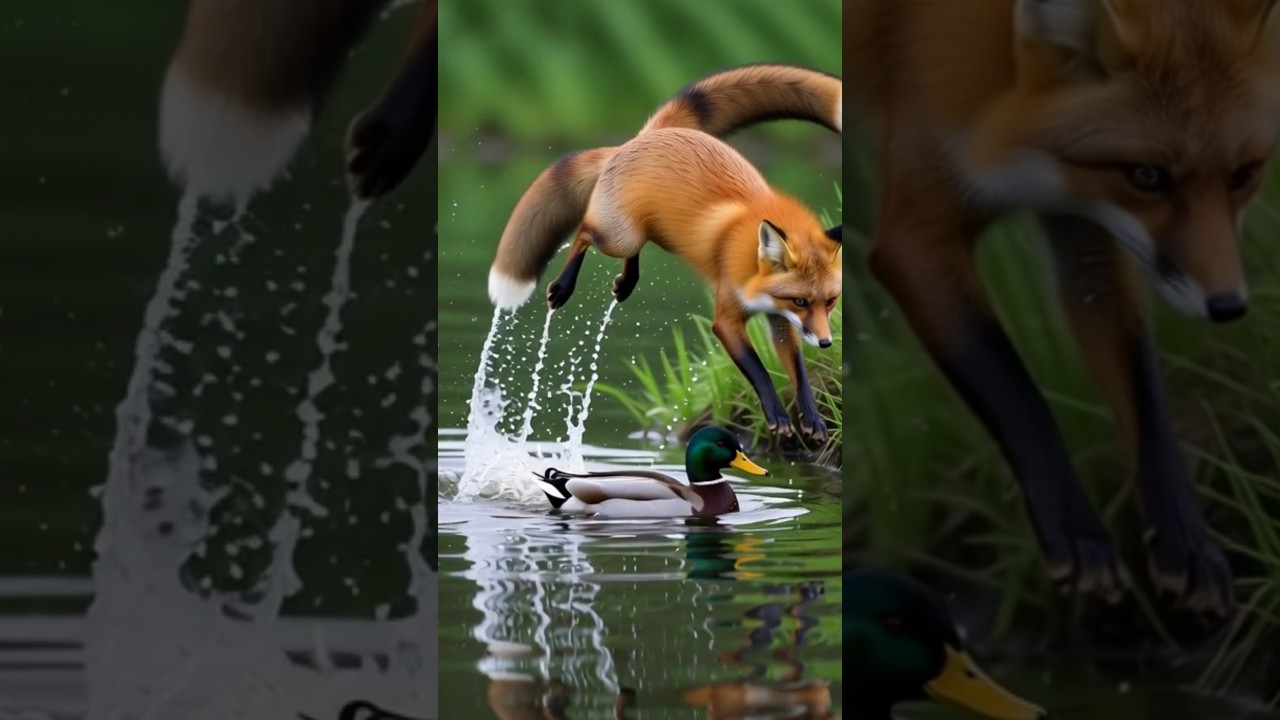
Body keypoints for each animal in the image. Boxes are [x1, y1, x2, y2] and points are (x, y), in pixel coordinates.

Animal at [485, 65, 843, 440]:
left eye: (830, 301)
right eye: (800, 300)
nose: (826, 343)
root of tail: (650, 134)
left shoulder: (781, 321)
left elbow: (798, 371)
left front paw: (813, 418)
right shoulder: (727, 320)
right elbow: (758, 370)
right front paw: (777, 414)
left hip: (656, 233)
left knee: (632, 248)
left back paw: (626, 283)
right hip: (617, 236)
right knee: (584, 231)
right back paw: (562, 287)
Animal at [847, 0, 1280, 617]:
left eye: (1243, 175)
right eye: (1147, 176)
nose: (1227, 306)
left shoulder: (1086, 229)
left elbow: (1143, 395)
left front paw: (1186, 542)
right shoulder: (916, 235)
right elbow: (1014, 391)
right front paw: (1076, 535)